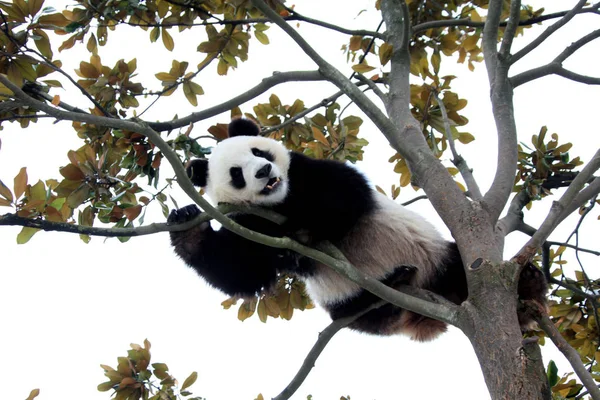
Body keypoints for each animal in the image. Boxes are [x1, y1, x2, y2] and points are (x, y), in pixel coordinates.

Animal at [169, 118, 548, 340]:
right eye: (236, 173)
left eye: (259, 151)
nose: (263, 173)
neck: (279, 203)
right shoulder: (248, 223)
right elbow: (241, 271)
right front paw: (185, 226)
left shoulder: (306, 172)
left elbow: (343, 195)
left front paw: (303, 236)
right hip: (347, 299)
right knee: (359, 317)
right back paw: (382, 295)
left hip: (436, 258)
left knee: (460, 268)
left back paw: (527, 285)